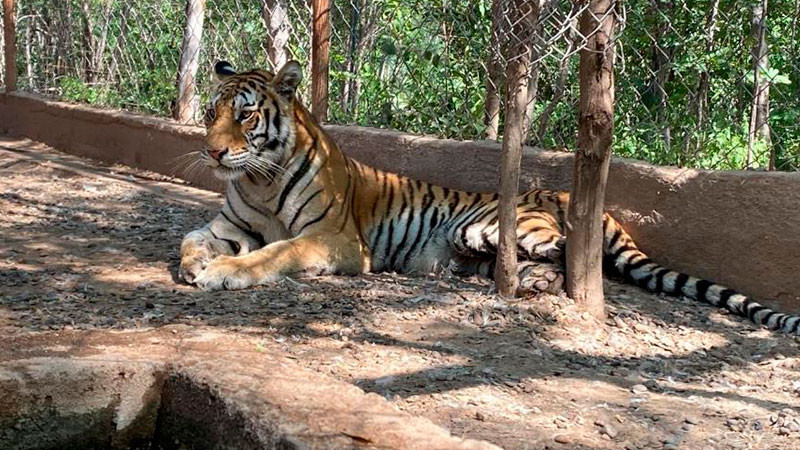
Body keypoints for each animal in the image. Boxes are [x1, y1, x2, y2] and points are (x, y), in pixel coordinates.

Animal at [178, 59, 800, 334]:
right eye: (210, 113)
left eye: (246, 115)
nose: (211, 152)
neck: (260, 179)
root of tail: (564, 193)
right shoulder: (230, 224)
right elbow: (192, 236)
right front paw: (193, 264)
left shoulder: (334, 239)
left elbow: (275, 252)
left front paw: (222, 273)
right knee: (537, 266)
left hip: (489, 224)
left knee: (574, 259)